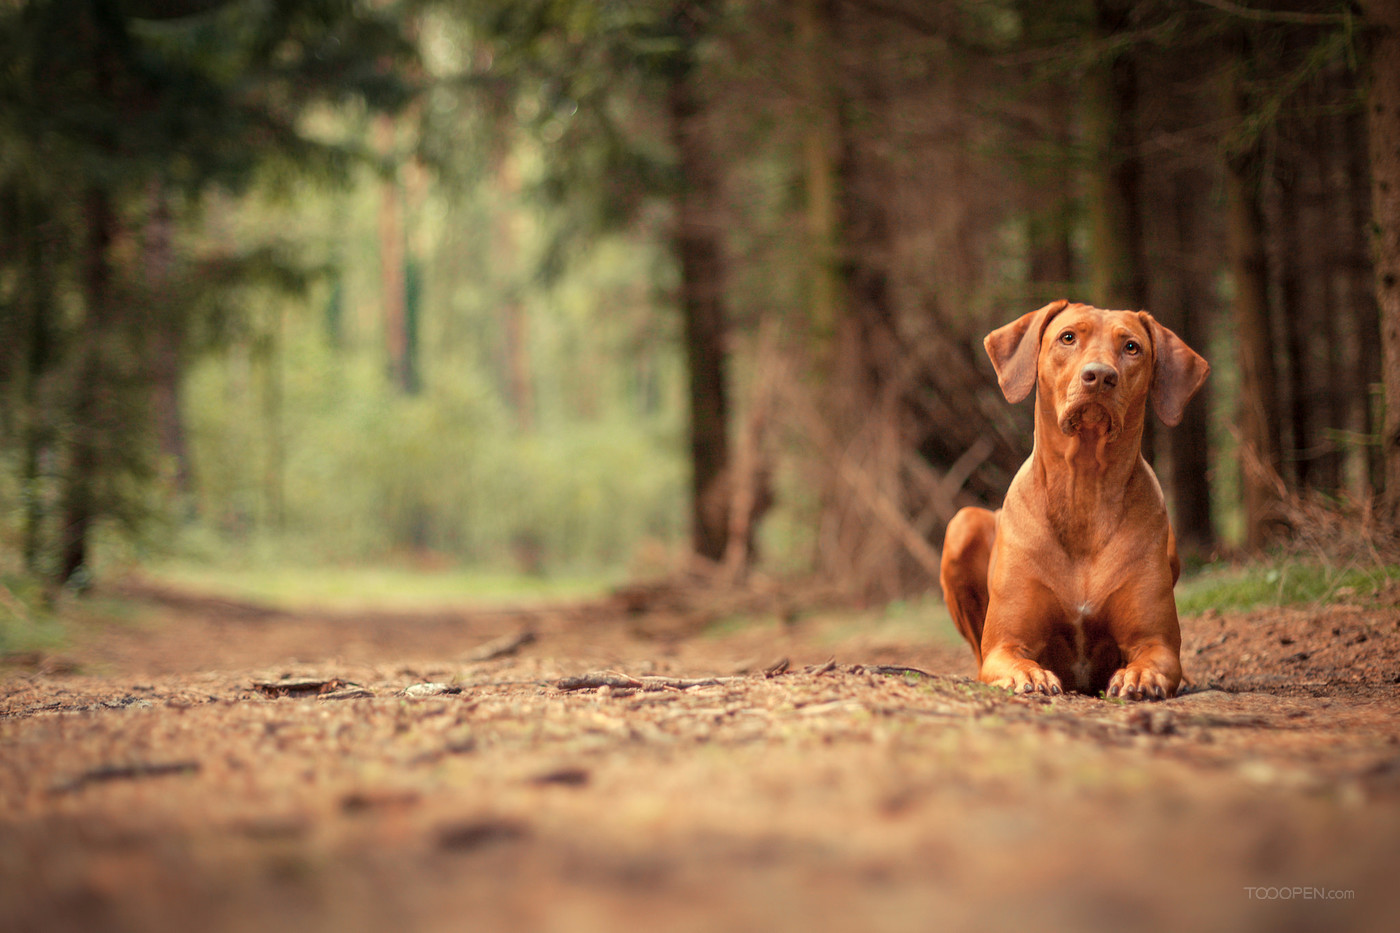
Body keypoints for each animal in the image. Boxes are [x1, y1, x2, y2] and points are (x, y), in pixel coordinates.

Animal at [946, 298, 1209, 697]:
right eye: (1067, 337)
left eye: (1131, 347)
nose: (1099, 376)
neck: (1084, 487)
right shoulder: (1003, 645)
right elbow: (1011, 657)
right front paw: (1030, 676)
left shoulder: (1156, 643)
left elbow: (1155, 657)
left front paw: (1138, 676)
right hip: (963, 523)